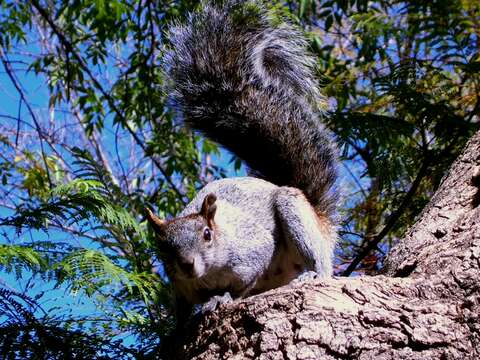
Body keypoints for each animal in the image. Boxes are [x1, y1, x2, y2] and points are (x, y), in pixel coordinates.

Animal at [145, 0, 338, 326]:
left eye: (207, 235)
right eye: (163, 247)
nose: (187, 265)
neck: (207, 276)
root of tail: (320, 218)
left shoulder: (254, 251)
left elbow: (245, 282)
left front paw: (222, 298)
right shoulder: (181, 289)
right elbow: (181, 312)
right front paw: (175, 329)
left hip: (296, 215)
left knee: (320, 265)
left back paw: (313, 273)